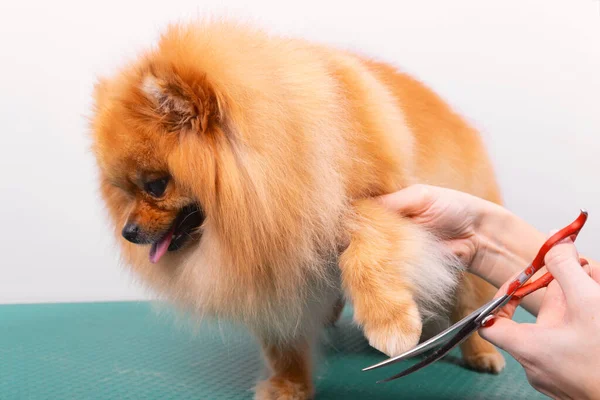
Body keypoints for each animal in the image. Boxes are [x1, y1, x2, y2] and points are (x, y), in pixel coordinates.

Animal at [91, 19, 504, 400]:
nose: (129, 232)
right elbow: (282, 339)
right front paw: (289, 385)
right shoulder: (275, 266)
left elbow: (367, 240)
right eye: (124, 190)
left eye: (156, 186)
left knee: (470, 305)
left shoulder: (385, 199)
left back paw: (481, 352)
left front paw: (390, 322)